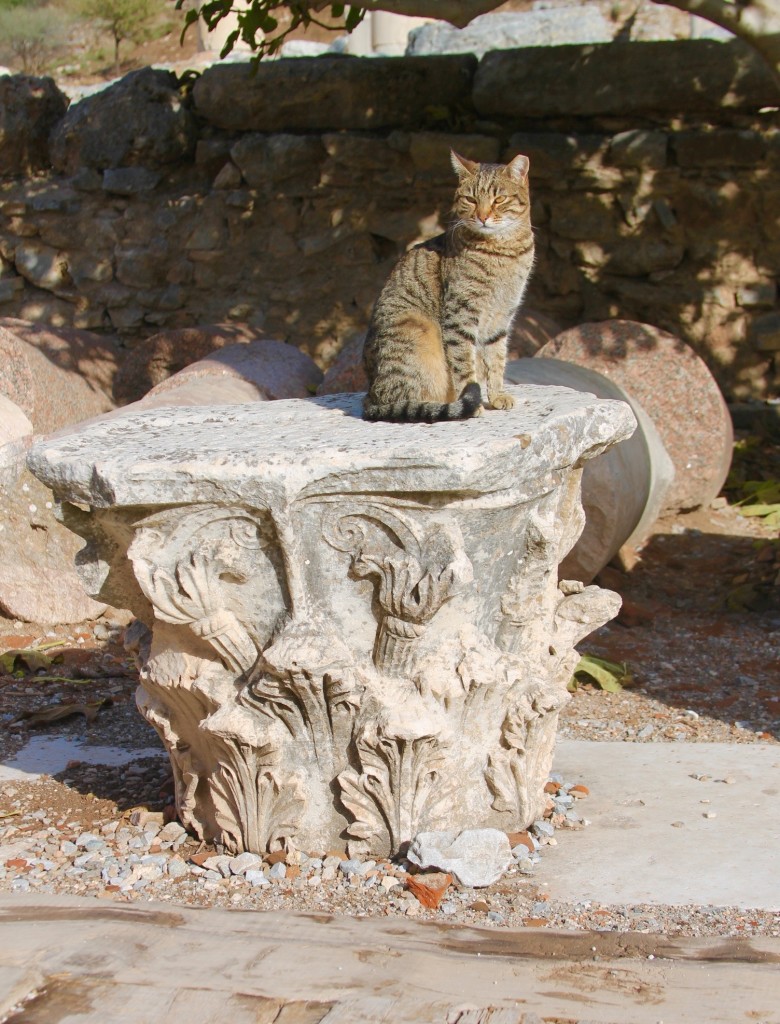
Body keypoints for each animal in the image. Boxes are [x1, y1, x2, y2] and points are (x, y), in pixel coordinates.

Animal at [360, 149, 532, 421]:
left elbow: (496, 359)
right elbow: (464, 365)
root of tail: (370, 395)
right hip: (416, 332)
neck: (505, 251)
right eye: (471, 199)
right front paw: (475, 403)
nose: (482, 217)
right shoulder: (460, 314)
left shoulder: (502, 316)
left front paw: (497, 396)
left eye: (499, 199)